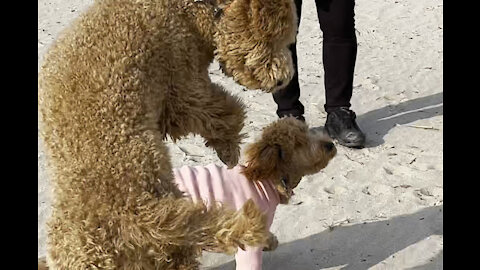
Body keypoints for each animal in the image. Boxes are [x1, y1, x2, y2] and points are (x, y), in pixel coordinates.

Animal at [37, 0, 298, 268]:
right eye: (272, 38)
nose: (284, 79)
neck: (189, 11)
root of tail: (139, 215)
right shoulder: (183, 85)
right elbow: (224, 111)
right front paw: (229, 149)